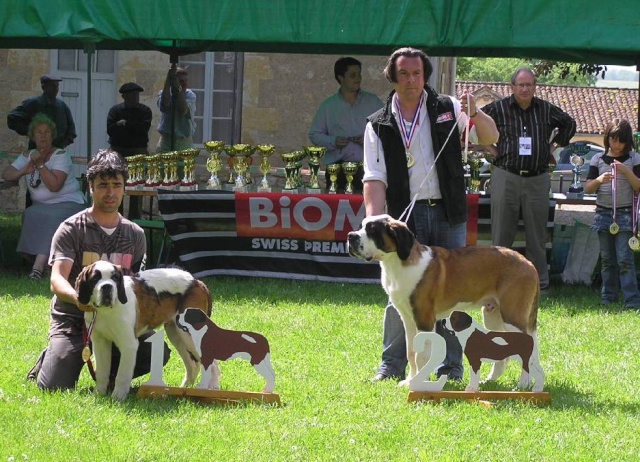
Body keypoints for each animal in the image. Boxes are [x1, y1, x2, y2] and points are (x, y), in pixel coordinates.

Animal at [74, 262, 210, 398]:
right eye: (95, 278)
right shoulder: (100, 343)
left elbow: (122, 374)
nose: (107, 286)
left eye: (115, 278)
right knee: (192, 364)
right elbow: (102, 372)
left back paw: (208, 389)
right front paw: (99, 393)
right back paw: (184, 388)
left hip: (189, 335)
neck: (105, 311)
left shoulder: (129, 345)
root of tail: (197, 282)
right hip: (176, 334)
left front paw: (118, 396)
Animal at [348, 215, 544, 388]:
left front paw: (418, 384)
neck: (396, 264)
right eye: (361, 226)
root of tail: (528, 262)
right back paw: (489, 381)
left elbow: (421, 355)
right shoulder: (408, 319)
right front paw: (409, 382)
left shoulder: (424, 319)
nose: (351, 236)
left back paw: (523, 384)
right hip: (493, 315)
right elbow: (411, 352)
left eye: (373, 231)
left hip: (512, 315)